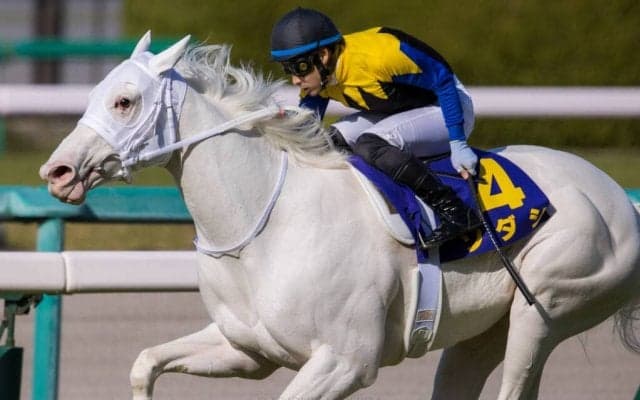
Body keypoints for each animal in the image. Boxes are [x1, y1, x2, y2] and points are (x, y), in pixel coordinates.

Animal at [39, 32, 640, 400]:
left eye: (123, 102)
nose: (58, 171)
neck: (263, 231)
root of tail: (618, 197)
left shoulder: (346, 361)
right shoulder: (246, 350)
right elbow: (146, 361)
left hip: (548, 308)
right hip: (483, 331)